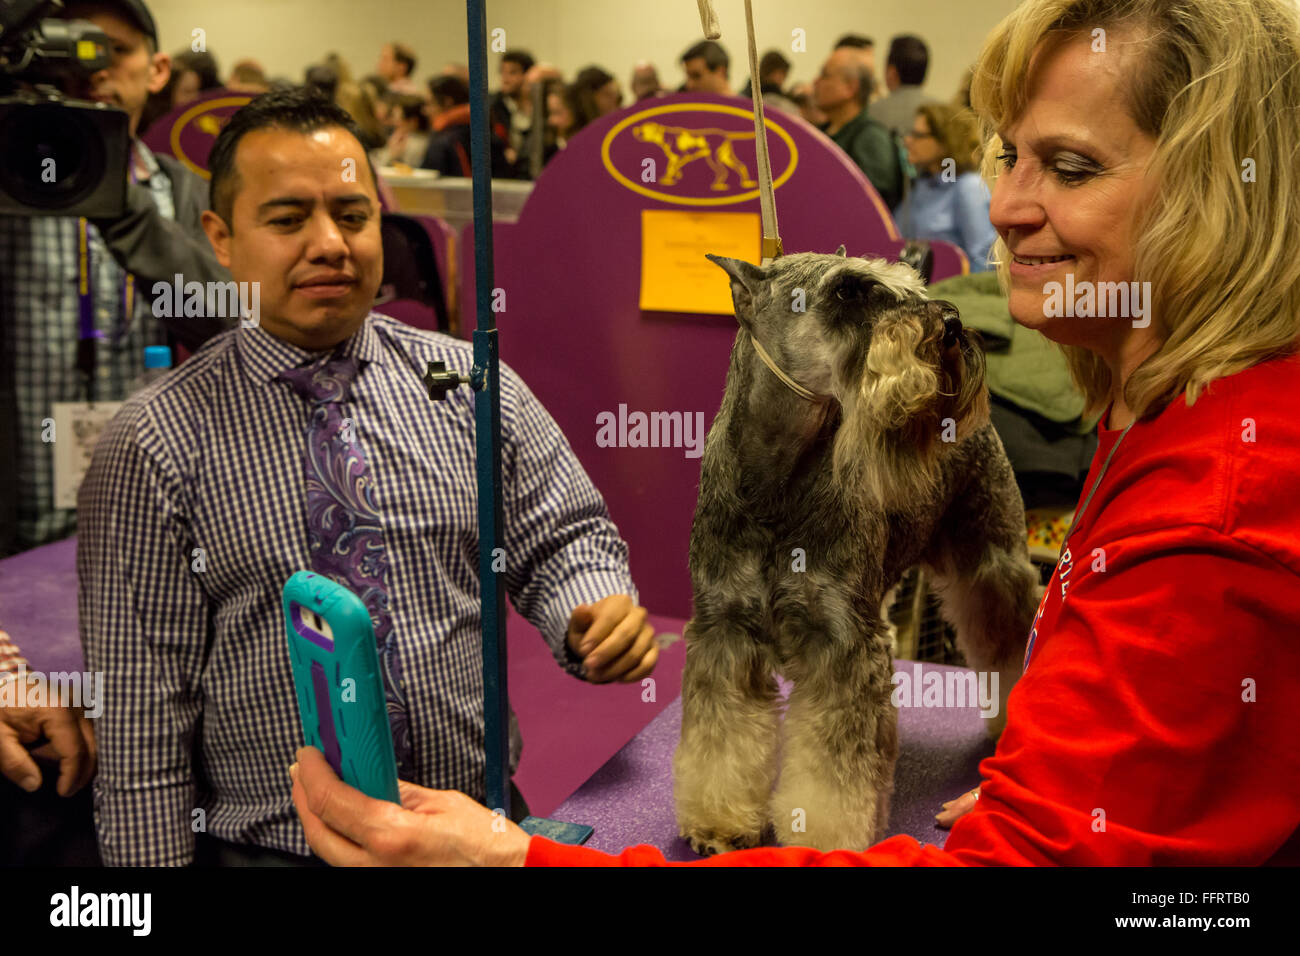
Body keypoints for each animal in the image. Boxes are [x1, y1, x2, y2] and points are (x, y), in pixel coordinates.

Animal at [676, 247, 1040, 853]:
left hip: (992, 562)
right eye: (847, 290)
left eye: (911, 284)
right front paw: (718, 822)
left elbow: (833, 768)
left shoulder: (843, 644)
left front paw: (823, 837)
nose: (951, 325)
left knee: (1009, 639)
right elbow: (721, 737)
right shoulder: (724, 631)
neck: (777, 482)